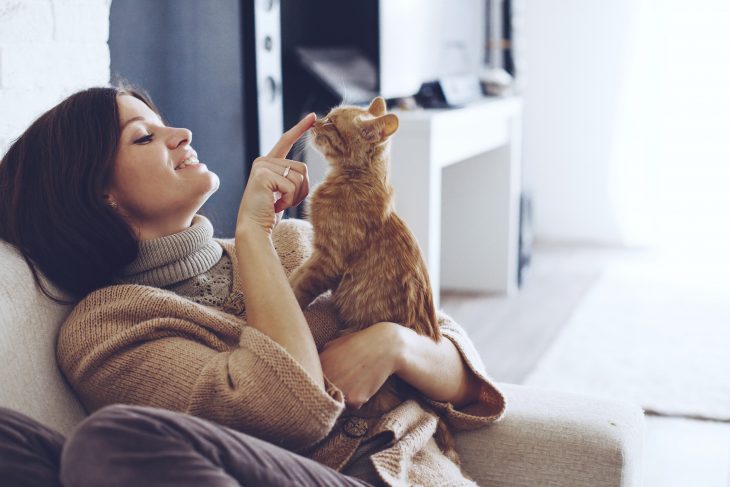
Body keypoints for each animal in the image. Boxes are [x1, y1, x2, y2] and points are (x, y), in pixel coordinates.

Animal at [288, 97, 458, 468]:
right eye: (327, 116)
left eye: (332, 124)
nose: (314, 121)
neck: (352, 179)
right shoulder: (320, 257)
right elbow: (295, 275)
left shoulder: (327, 260)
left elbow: (298, 285)